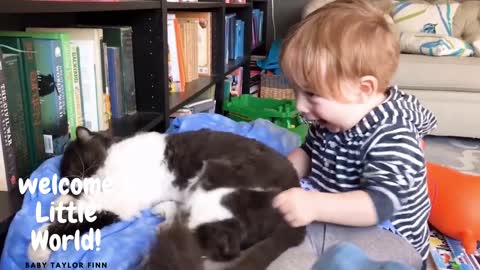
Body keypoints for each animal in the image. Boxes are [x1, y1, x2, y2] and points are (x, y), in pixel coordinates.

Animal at [28, 127, 306, 270]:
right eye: (67, 182)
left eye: (77, 172)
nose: (75, 188)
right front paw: (61, 201)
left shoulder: (117, 203)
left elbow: (72, 223)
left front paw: (37, 249)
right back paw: (165, 213)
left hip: (214, 185)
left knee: (221, 245)